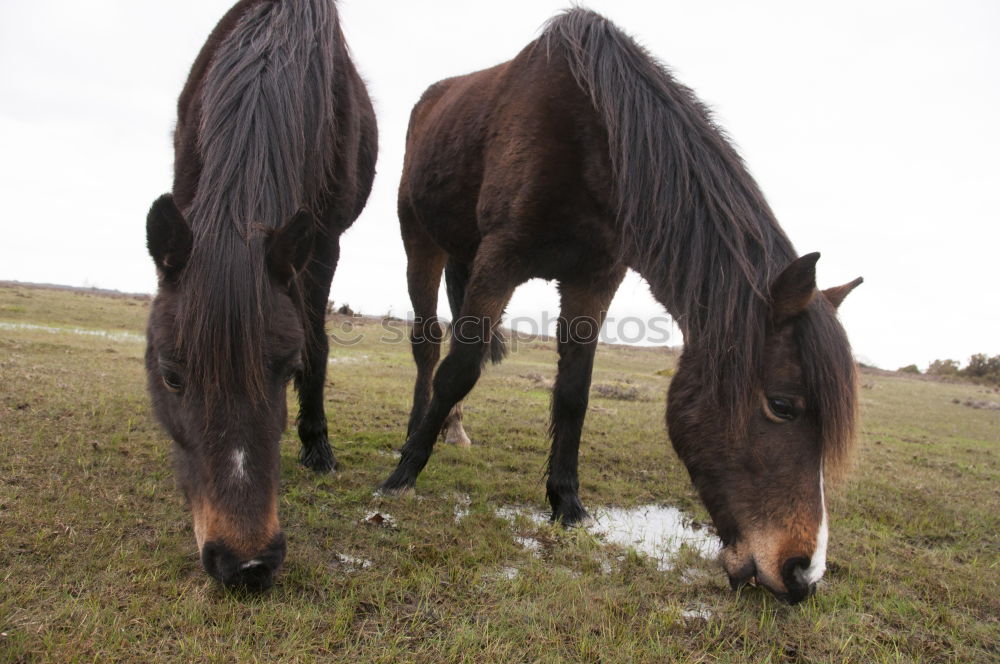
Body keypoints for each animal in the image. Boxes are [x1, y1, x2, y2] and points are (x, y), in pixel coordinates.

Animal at [148, 0, 378, 592]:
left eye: (285, 367)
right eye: (171, 375)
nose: (248, 564)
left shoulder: (323, 242)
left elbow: (317, 342)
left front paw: (317, 445)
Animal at [382, 9, 860, 608]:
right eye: (782, 405)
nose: (803, 574)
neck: (590, 136)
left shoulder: (594, 281)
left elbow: (574, 394)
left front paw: (566, 502)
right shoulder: (501, 258)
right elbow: (458, 370)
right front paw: (403, 475)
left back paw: (452, 430)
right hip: (420, 239)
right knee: (428, 348)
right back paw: (416, 435)